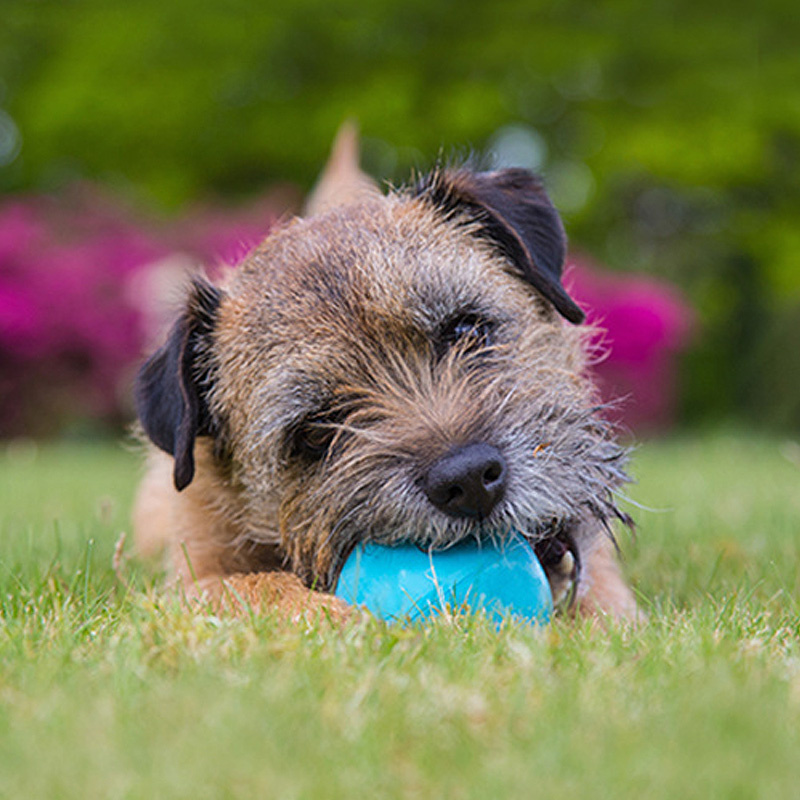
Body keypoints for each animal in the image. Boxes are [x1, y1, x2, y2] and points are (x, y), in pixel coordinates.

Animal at [133, 125, 636, 620]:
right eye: (317, 430)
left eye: (466, 329)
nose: (470, 478)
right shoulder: (191, 580)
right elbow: (251, 587)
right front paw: (330, 616)